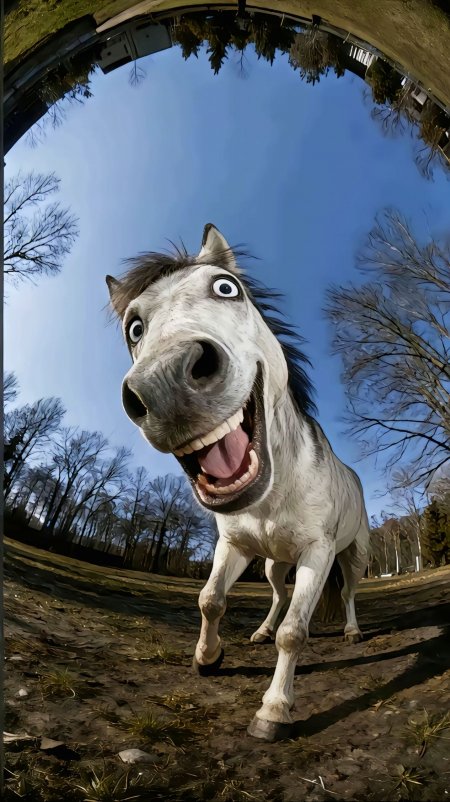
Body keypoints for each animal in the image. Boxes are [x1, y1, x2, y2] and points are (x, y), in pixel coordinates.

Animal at [106, 224, 370, 742]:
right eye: (134, 328)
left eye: (227, 288)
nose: (167, 384)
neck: (273, 491)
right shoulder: (234, 546)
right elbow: (210, 599)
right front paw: (208, 658)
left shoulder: (318, 552)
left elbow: (296, 631)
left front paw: (274, 711)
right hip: (272, 562)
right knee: (279, 595)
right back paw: (261, 632)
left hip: (351, 553)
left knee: (348, 593)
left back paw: (351, 631)